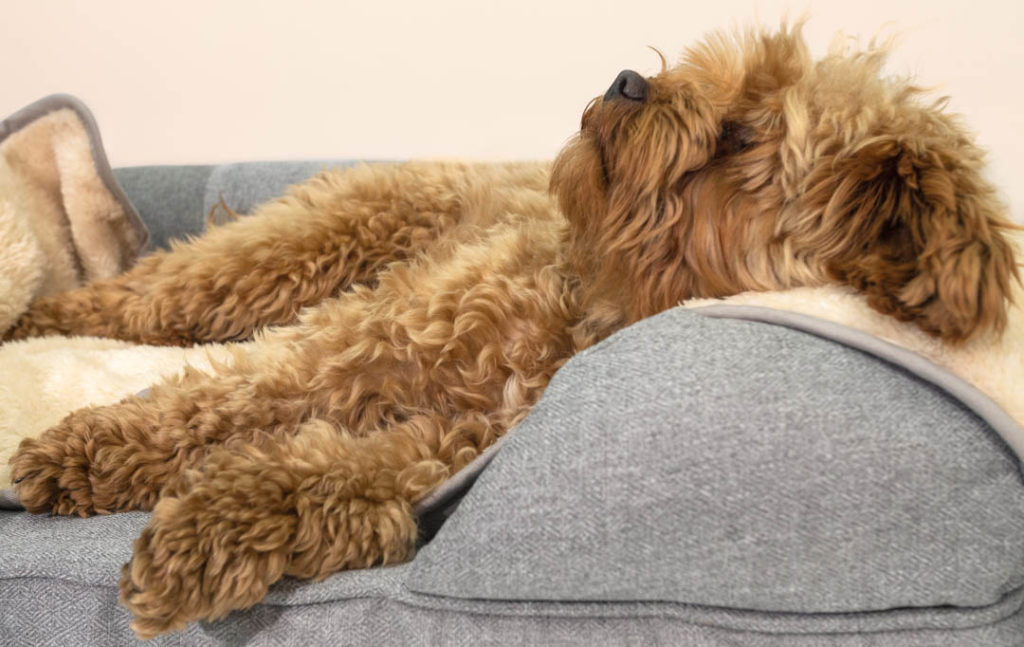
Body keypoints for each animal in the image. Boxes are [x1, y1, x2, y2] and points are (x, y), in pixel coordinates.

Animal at [6, 24, 1015, 638]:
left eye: (740, 137)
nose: (627, 78)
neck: (589, 305)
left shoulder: (442, 445)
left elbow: (324, 476)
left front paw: (205, 531)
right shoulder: (365, 342)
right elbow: (240, 392)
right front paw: (90, 449)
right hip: (303, 246)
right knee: (151, 297)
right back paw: (43, 313)